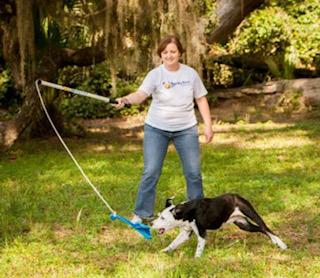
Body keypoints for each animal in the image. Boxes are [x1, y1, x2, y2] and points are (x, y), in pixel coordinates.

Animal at [152, 193, 288, 256]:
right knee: (261, 229)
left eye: (163, 218)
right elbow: (173, 243)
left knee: (266, 228)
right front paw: (165, 251)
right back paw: (275, 242)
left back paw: (281, 244)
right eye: (159, 215)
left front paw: (196, 260)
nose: (152, 223)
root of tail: (237, 196)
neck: (186, 212)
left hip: (251, 214)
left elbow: (199, 248)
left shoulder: (201, 233)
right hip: (243, 224)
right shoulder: (185, 232)